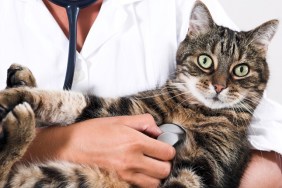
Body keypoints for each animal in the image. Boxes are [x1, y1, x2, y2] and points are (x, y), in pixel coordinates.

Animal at [0, 1, 278, 188]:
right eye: (205, 60)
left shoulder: (206, 168)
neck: (193, 112)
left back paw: (20, 124)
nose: (219, 87)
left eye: (241, 69)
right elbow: (66, 101)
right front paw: (14, 96)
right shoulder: (129, 109)